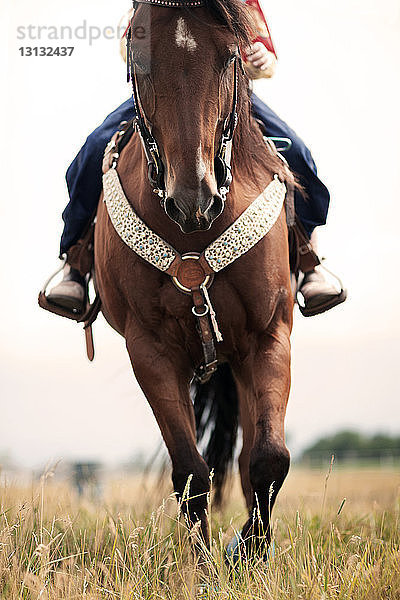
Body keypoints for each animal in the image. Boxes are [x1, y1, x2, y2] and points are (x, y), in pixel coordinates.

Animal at [95, 0, 292, 556]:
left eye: (230, 57)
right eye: (139, 58)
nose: (193, 199)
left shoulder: (268, 336)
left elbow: (268, 460)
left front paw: (247, 554)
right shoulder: (151, 349)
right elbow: (190, 473)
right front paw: (204, 565)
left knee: (250, 459)